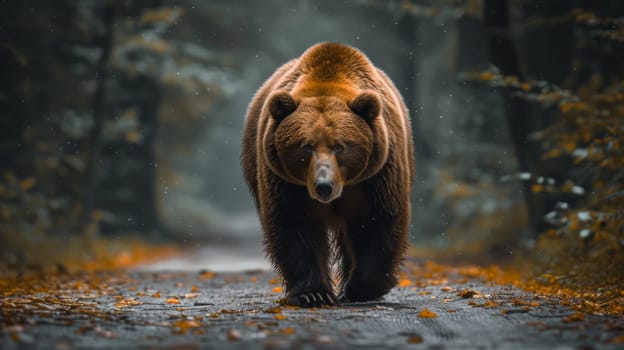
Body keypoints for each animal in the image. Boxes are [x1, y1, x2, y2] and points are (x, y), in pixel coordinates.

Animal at [241, 43, 412, 306]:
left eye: (339, 146)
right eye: (306, 146)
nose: (324, 186)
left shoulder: (377, 176)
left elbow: (377, 221)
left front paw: (359, 289)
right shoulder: (286, 183)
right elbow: (294, 225)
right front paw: (313, 293)